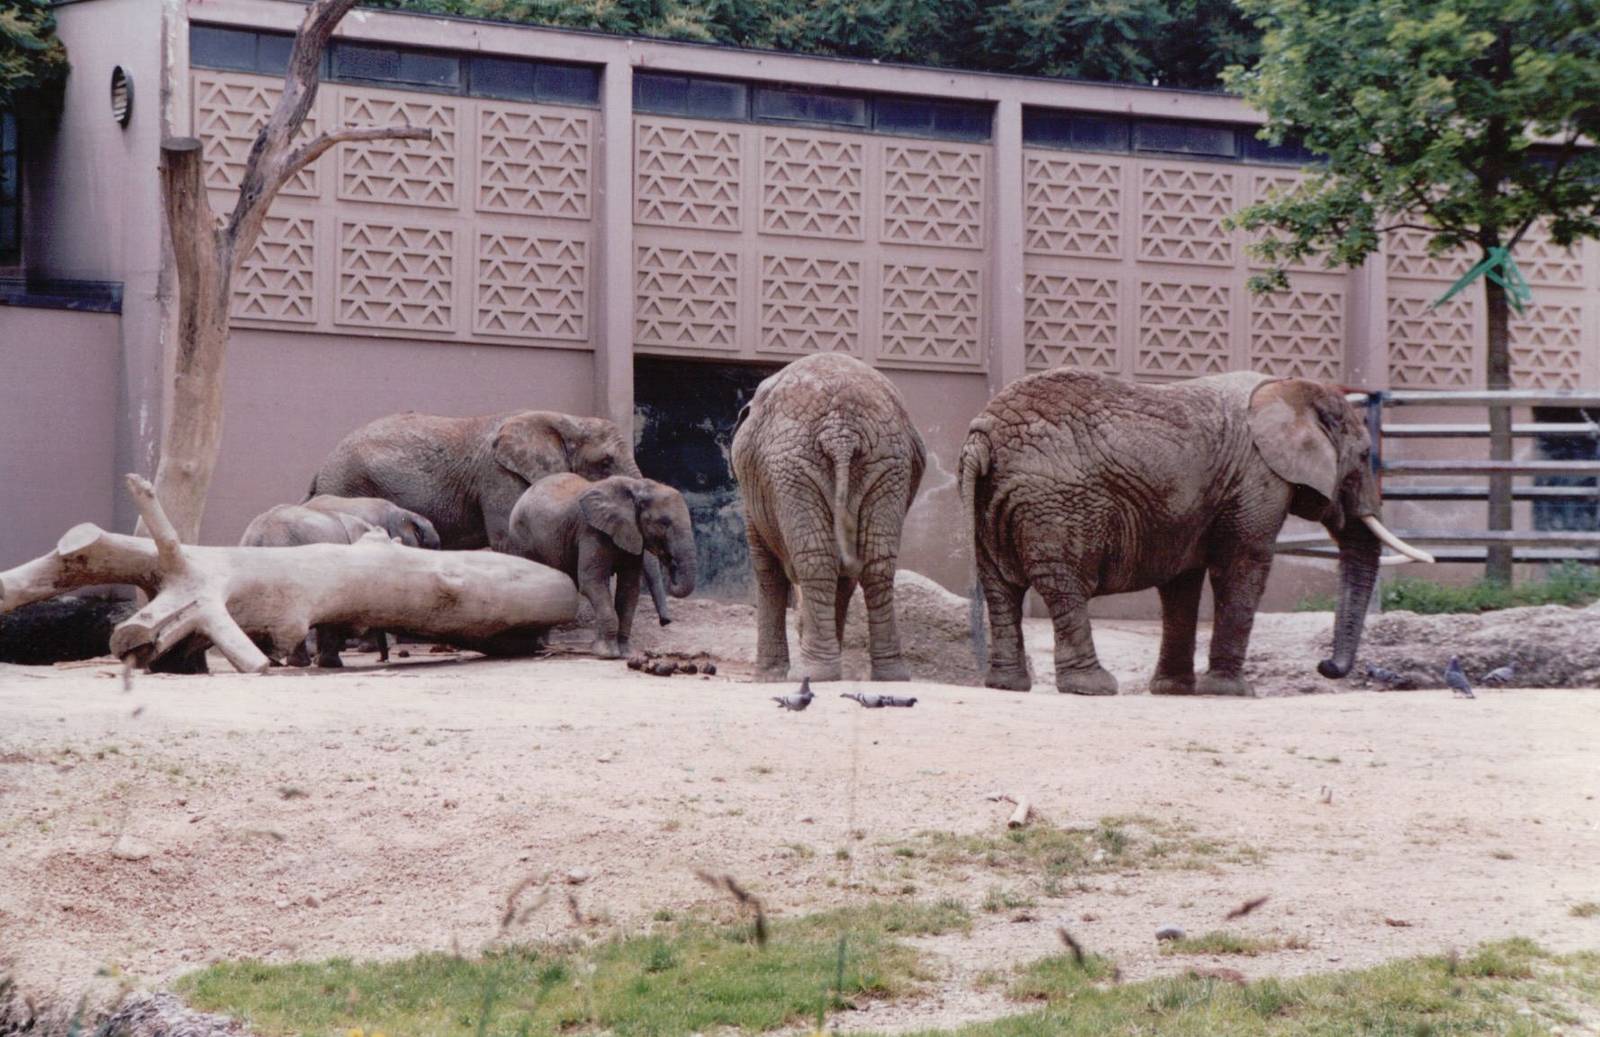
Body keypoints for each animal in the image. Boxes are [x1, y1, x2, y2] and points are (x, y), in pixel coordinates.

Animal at [308, 409, 671, 623]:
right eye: (606, 463)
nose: (666, 621)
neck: (562, 419)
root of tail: (320, 469)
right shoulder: (499, 476)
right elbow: (508, 541)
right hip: (347, 483)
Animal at [508, 474, 696, 658]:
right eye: (664, 523)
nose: (665, 622)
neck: (635, 486)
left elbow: (629, 589)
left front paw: (626, 654)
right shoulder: (591, 531)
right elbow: (592, 582)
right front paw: (608, 653)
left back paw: (543, 646)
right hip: (521, 537)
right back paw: (537, 646)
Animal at [731, 353, 926, 683]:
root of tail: (841, 431)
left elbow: (767, 571)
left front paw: (768, 676)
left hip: (791, 466)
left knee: (818, 559)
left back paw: (812, 674)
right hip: (888, 462)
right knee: (877, 564)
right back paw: (890, 675)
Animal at [958, 369, 1434, 697]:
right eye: (1366, 456)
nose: (1325, 667)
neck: (1291, 388)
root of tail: (985, 433)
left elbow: (1182, 583)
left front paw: (1174, 691)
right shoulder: (1257, 479)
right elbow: (1243, 565)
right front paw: (1232, 692)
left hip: (995, 500)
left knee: (1000, 587)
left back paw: (1006, 685)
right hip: (1057, 503)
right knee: (1065, 586)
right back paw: (1093, 687)